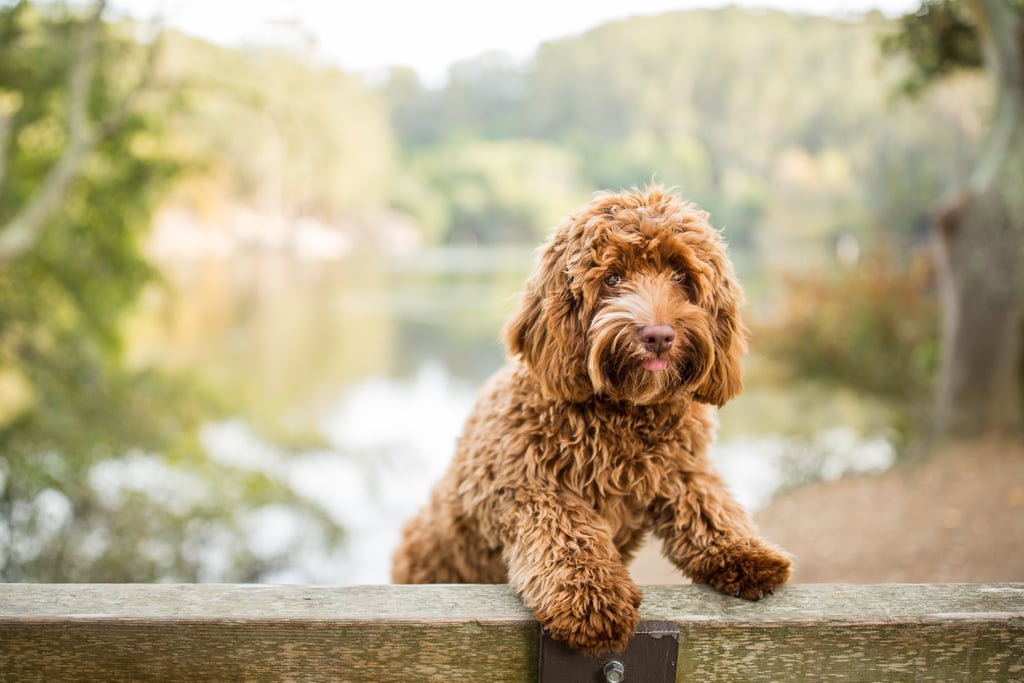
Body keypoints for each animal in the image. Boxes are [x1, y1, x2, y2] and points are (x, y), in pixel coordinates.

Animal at [391, 184, 790, 655]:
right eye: (613, 278)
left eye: (679, 275)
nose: (658, 335)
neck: (624, 413)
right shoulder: (524, 487)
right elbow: (568, 533)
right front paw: (592, 600)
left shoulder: (681, 468)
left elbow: (708, 504)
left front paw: (746, 552)